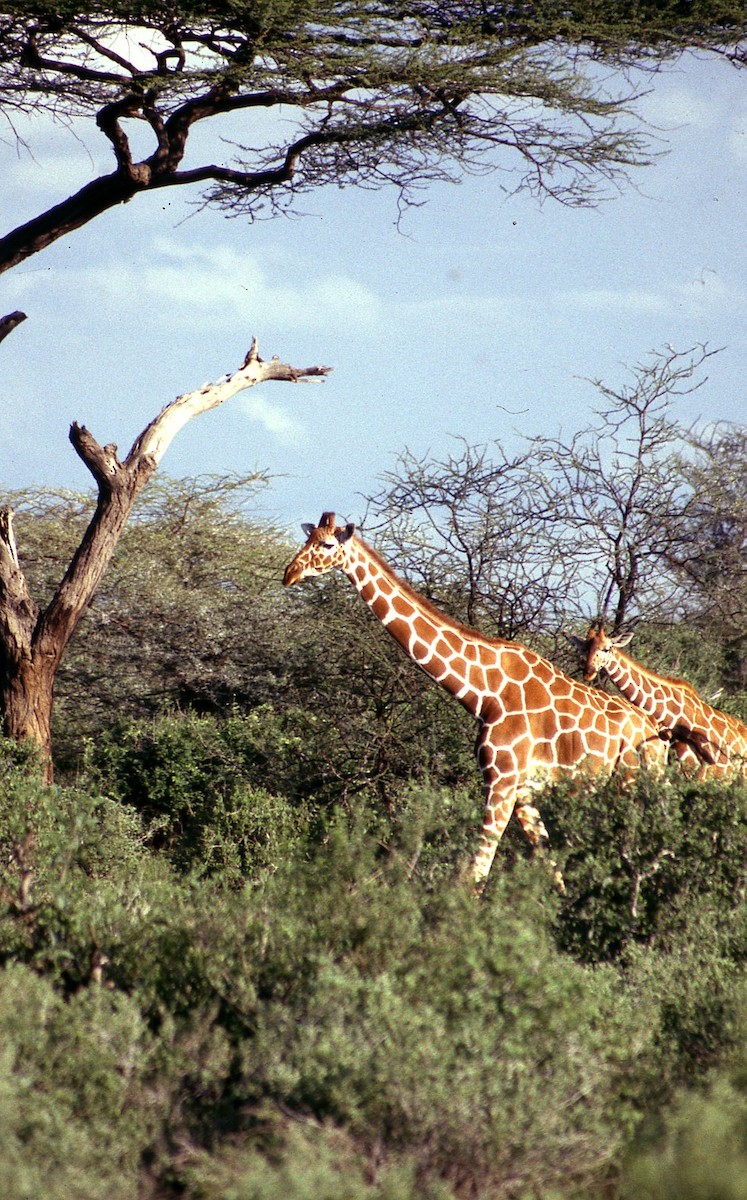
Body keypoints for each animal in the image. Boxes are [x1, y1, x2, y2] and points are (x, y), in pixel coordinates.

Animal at [283, 513, 669, 890]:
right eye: (307, 538)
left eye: (326, 544)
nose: (290, 573)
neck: (485, 693)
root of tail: (657, 734)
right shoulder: (522, 789)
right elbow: (549, 865)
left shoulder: (501, 780)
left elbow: (475, 873)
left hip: (631, 781)